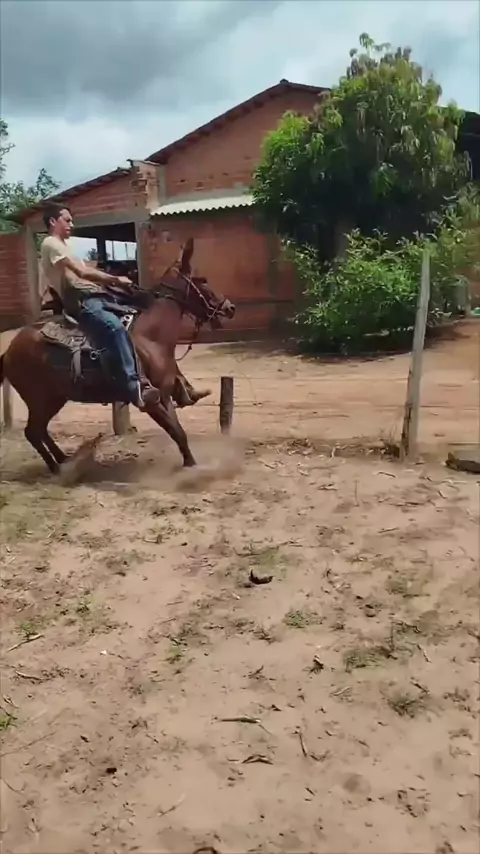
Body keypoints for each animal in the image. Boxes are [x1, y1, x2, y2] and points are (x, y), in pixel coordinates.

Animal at [0, 238, 235, 474]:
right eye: (202, 281)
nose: (230, 307)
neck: (150, 338)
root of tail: (9, 351)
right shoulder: (150, 402)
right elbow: (176, 431)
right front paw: (192, 468)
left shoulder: (165, 395)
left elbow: (178, 430)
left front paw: (190, 462)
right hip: (39, 399)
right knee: (33, 432)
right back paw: (57, 468)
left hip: (54, 398)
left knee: (40, 430)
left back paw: (64, 459)